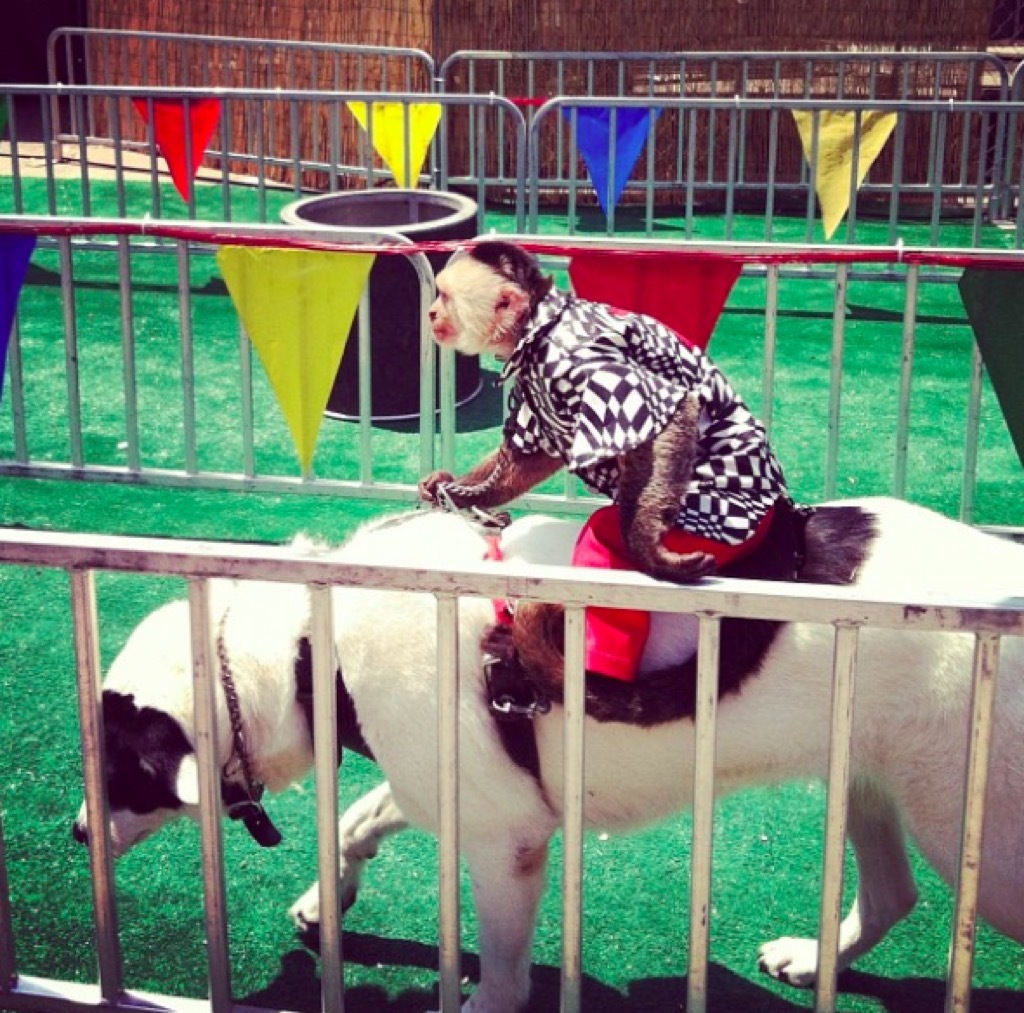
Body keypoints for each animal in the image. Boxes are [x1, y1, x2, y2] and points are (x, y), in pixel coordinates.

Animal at [72, 499, 1024, 1011]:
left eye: (116, 763)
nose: (78, 833)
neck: (315, 642)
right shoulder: (454, 781)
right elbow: (356, 819)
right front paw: (325, 896)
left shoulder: (508, 842)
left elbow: (499, 964)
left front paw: (481, 994)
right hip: (871, 778)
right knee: (894, 892)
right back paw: (813, 959)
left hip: (975, 832)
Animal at [419, 238, 786, 680]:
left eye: (444, 296)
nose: (431, 312)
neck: (536, 328)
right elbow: (531, 458)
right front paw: (459, 490)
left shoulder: (572, 358)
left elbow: (671, 413)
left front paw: (647, 547)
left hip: (714, 530)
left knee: (603, 543)